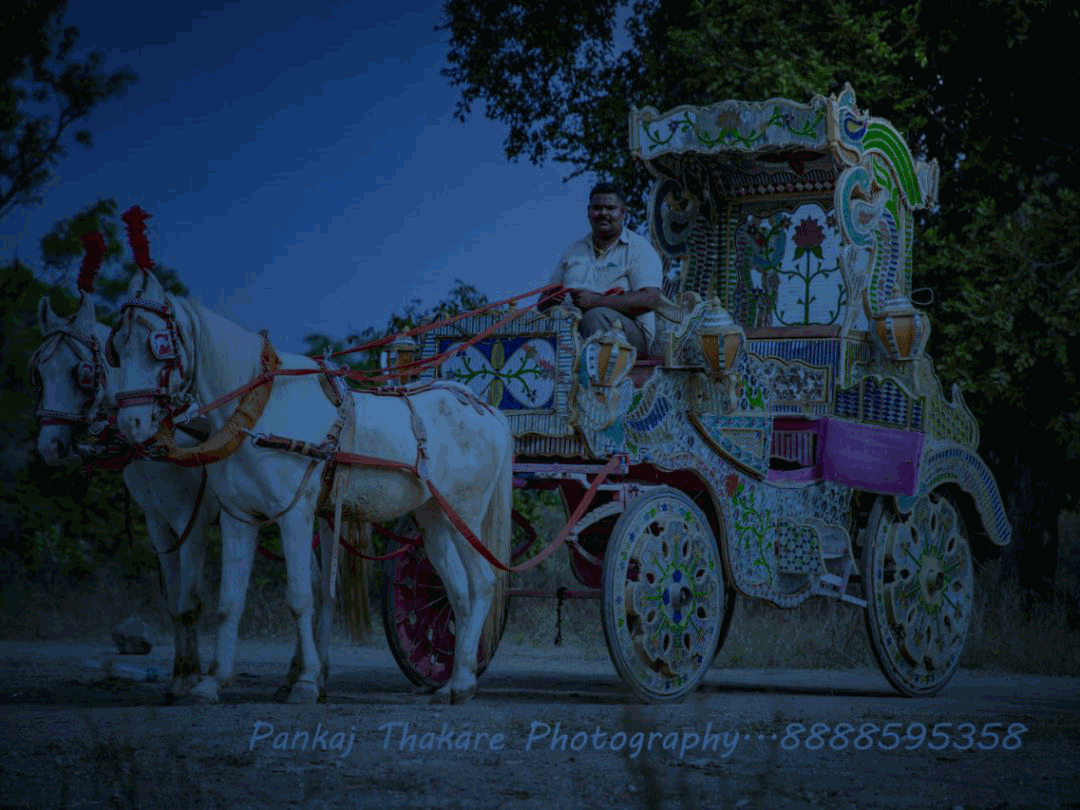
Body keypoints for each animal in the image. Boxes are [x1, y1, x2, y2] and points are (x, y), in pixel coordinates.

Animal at [106, 269, 513, 704]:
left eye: (157, 347)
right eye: (117, 348)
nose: (131, 424)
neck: (259, 410)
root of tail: (486, 409)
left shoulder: (295, 514)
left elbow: (301, 598)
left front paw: (304, 682)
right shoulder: (237, 517)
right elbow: (229, 601)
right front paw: (212, 681)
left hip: (465, 513)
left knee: (483, 584)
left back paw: (464, 682)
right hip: (434, 517)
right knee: (458, 593)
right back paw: (452, 681)